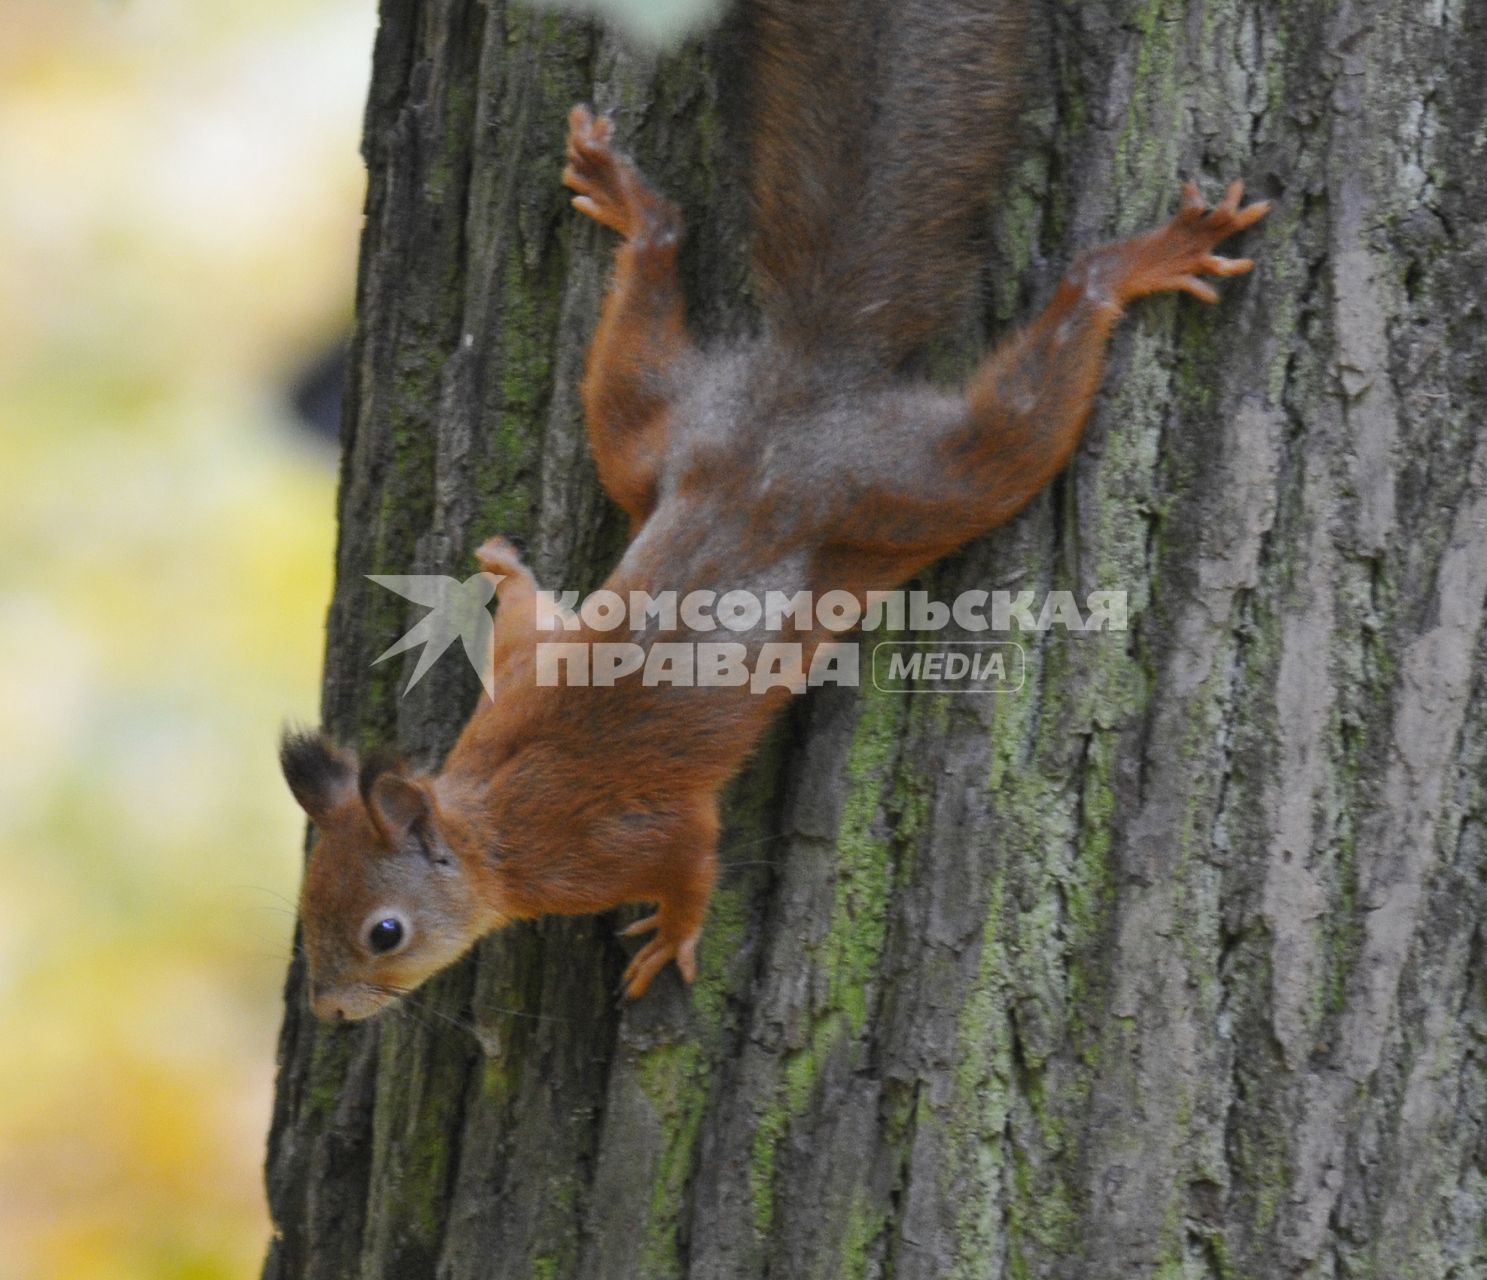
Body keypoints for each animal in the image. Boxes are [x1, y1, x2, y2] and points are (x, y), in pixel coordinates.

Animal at [284, 9, 1272, 1010]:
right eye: (309, 900)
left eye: (384, 932)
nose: (328, 1006)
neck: (487, 829)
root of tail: (803, 385)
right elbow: (532, 631)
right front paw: (504, 571)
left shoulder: (611, 842)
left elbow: (691, 857)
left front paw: (672, 936)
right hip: (657, 435)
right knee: (646, 321)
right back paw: (633, 205)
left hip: (917, 485)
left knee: (1026, 408)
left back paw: (1139, 264)